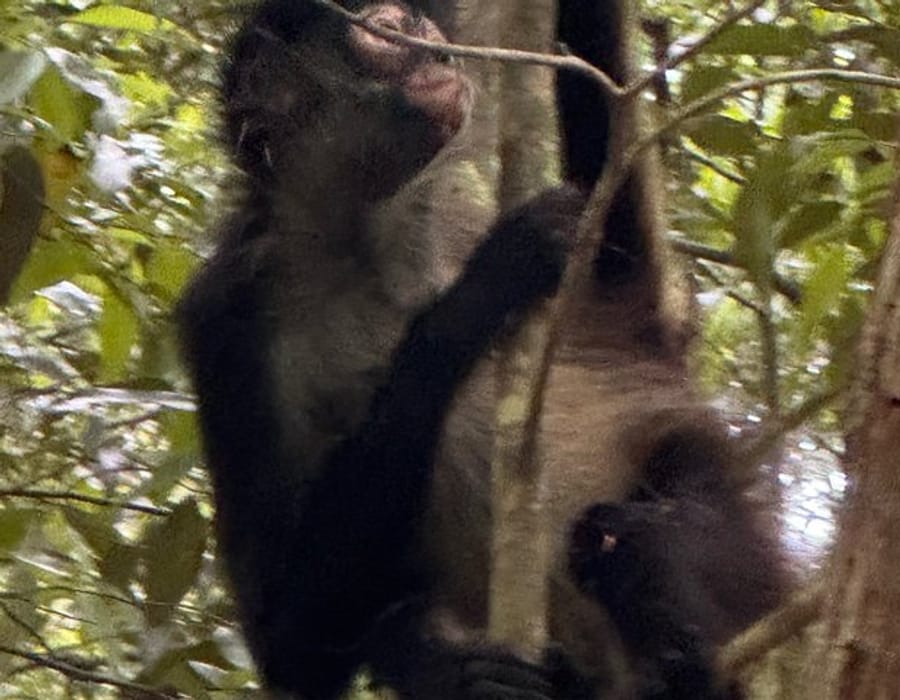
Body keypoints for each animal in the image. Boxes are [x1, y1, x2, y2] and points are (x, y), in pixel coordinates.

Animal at [177, 1, 788, 698]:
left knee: (626, 531)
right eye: (390, 31)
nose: (442, 52)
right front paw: (482, 286)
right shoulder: (223, 318)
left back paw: (676, 660)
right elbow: (290, 644)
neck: (363, 241)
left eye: (422, 24)